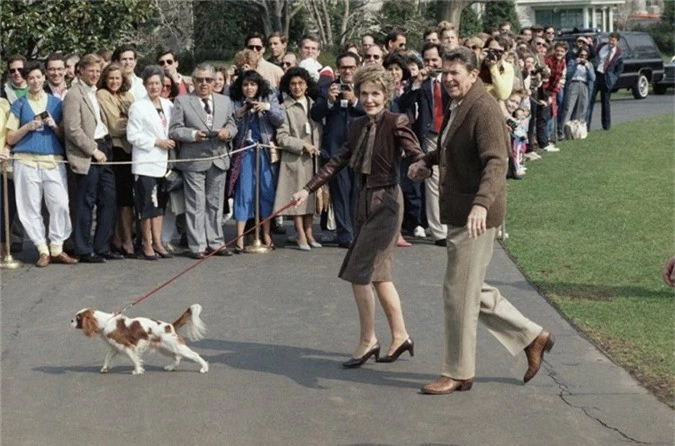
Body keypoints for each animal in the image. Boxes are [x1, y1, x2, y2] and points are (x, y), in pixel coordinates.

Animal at [70, 304, 209, 374]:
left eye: (78, 318)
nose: (70, 320)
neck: (105, 322)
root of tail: (170, 325)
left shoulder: (127, 346)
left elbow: (134, 359)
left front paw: (137, 370)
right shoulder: (115, 347)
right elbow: (107, 357)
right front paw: (105, 368)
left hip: (175, 346)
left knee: (194, 355)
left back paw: (204, 368)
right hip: (164, 347)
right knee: (177, 357)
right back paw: (170, 367)